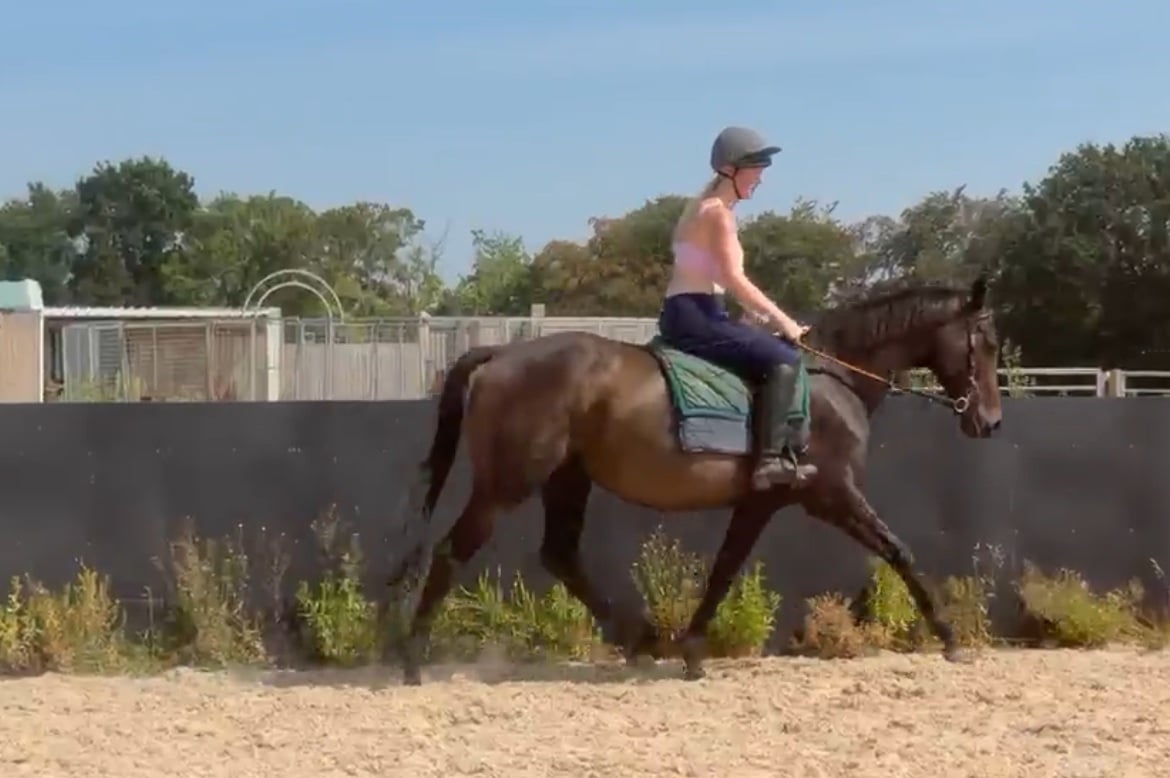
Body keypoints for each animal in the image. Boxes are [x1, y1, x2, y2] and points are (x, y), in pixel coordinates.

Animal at [391, 275, 1003, 685]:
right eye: (988, 343)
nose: (991, 422)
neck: (834, 376)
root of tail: (501, 353)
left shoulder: (760, 502)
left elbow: (725, 568)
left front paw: (690, 649)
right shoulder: (833, 494)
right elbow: (899, 551)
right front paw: (949, 637)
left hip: (568, 478)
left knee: (560, 554)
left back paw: (640, 639)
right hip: (507, 483)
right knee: (452, 551)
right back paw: (412, 660)